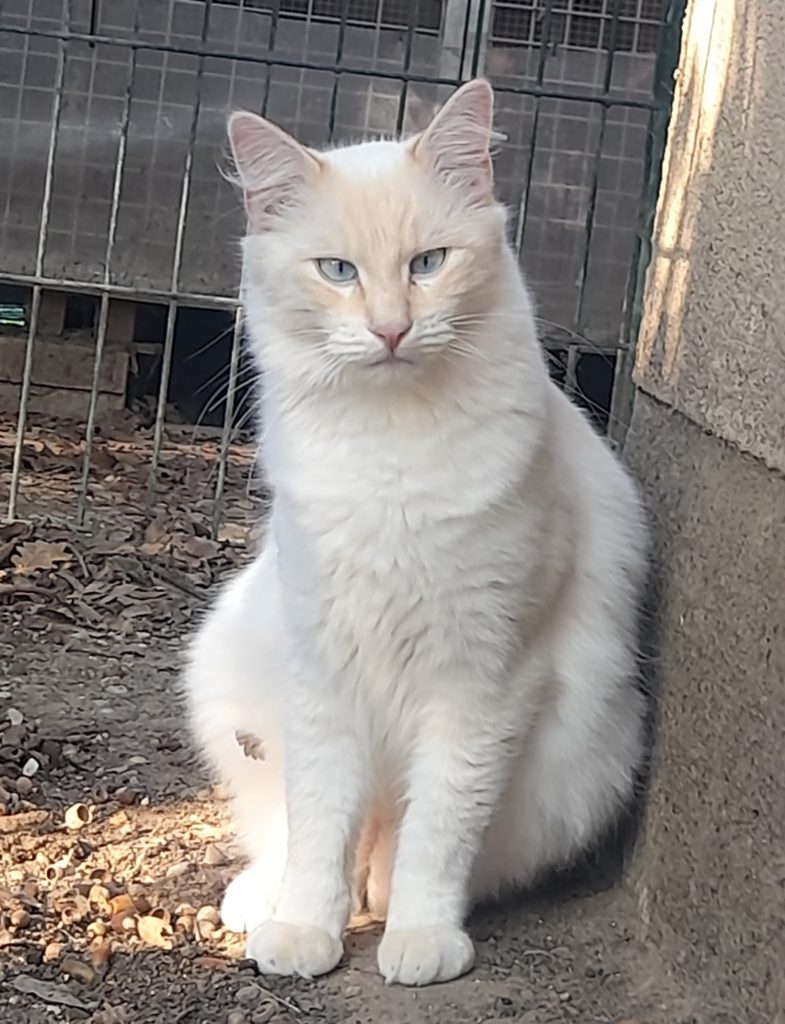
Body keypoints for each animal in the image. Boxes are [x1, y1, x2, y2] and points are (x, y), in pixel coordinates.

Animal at [186, 78, 647, 987]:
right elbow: (322, 825)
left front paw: (420, 936)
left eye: (427, 264)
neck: (390, 452)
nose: (392, 329)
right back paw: (264, 904)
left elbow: (434, 833)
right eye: (337, 272)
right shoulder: (325, 671)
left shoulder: (484, 680)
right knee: (283, 832)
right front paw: (306, 930)